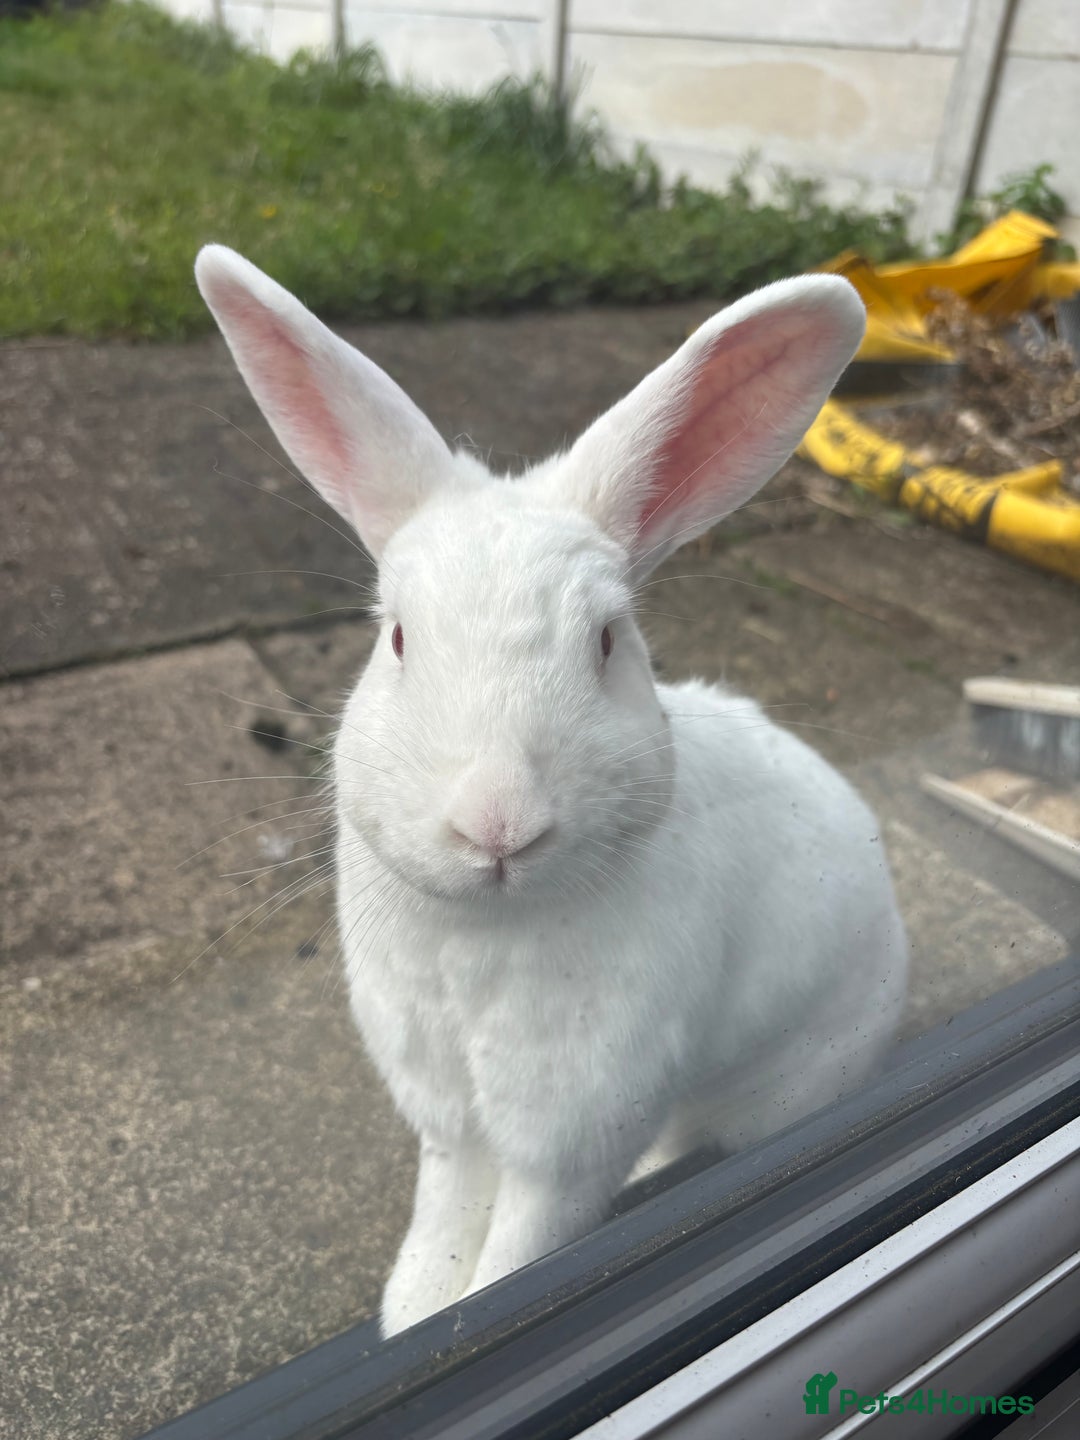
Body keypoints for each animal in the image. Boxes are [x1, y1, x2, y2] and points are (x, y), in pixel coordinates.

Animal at [194, 246, 908, 1337]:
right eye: (396, 638)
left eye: (608, 641)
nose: (498, 825)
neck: (484, 934)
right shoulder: (449, 1117)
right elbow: (443, 1219)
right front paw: (413, 1311)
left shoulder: (570, 1135)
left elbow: (520, 1253)